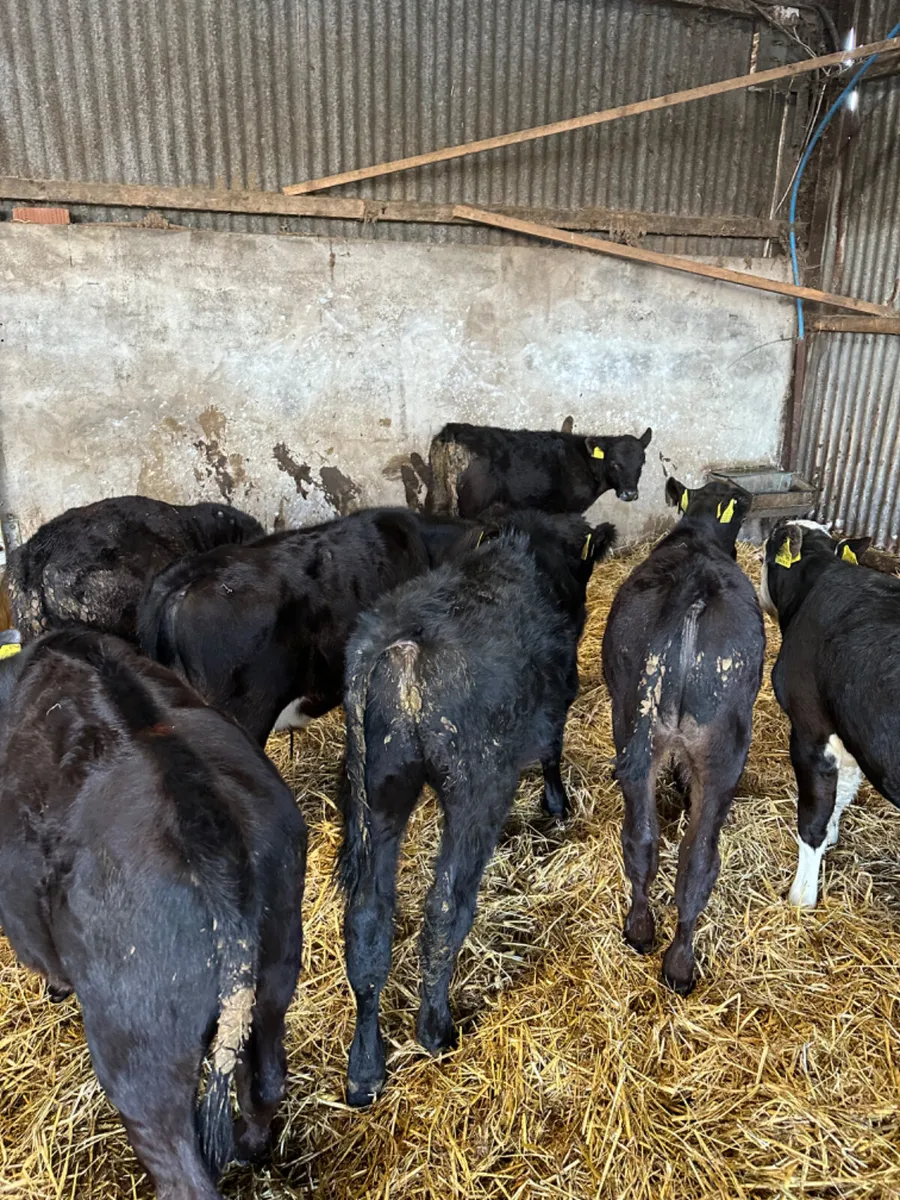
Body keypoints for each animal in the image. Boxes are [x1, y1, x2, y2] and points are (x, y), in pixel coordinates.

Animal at [0, 628, 306, 1200]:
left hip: (140, 1052)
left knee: (181, 1167)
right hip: (276, 976)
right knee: (267, 1079)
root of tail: (199, 813)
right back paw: (249, 1146)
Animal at [338, 510, 616, 1106]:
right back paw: (435, 1029)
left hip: (378, 792)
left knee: (368, 916)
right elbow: (552, 749)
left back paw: (365, 1068)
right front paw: (557, 806)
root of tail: (401, 648)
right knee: (445, 906)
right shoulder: (559, 693)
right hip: (475, 789)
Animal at [426, 421, 652, 518]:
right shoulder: (568, 509)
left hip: (438, 496)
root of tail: (454, 430)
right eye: (614, 463)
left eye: (642, 463)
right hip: (470, 507)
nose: (630, 494)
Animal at [602, 479, 764, 994]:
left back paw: (646, 937)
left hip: (634, 732)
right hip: (721, 752)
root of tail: (693, 590)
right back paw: (675, 960)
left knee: (648, 842)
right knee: (694, 861)